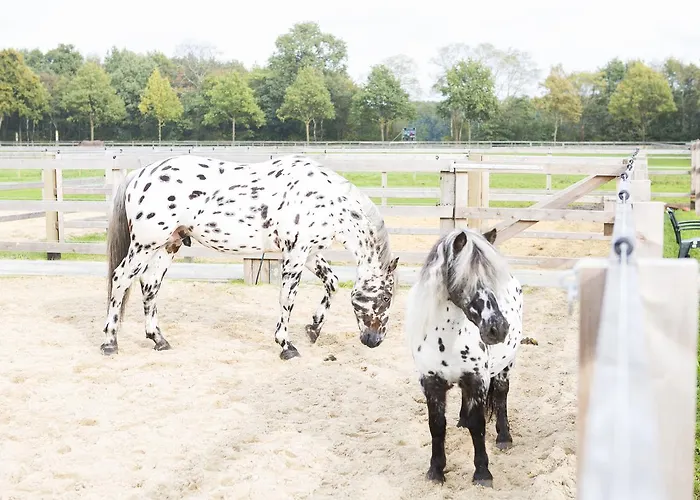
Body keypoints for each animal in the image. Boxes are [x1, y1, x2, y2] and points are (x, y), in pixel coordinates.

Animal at [100, 154, 399, 360]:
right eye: (386, 297)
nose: (374, 340)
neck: (326, 200)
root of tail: (140, 174)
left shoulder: (309, 252)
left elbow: (332, 282)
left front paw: (313, 329)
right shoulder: (295, 253)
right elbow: (287, 298)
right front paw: (286, 345)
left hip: (167, 245)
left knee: (150, 286)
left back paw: (158, 339)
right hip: (144, 245)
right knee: (121, 279)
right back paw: (110, 343)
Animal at [404, 227, 524, 487]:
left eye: (492, 281)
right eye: (465, 279)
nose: (497, 328)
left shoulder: (478, 380)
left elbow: (478, 425)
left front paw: (482, 473)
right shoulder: (431, 383)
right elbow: (437, 426)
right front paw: (435, 471)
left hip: (506, 365)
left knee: (501, 395)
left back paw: (504, 437)